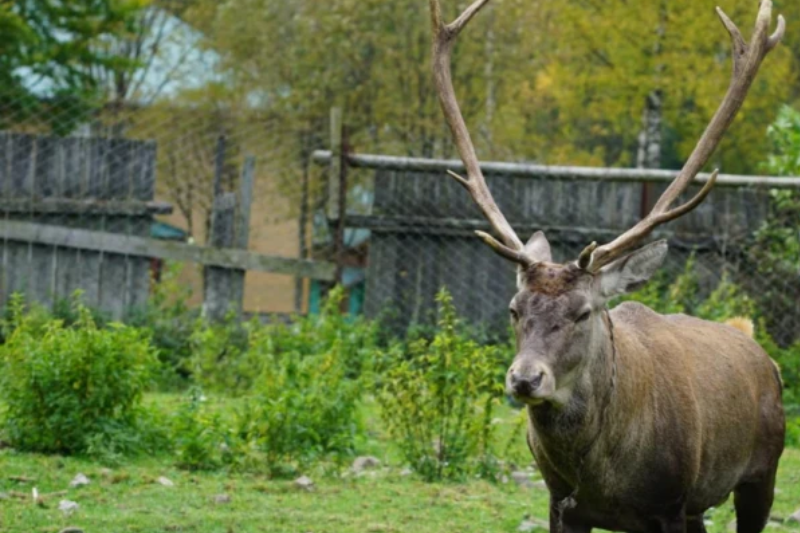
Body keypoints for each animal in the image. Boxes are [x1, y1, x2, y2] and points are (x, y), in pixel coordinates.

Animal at [428, 1, 784, 532]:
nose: (525, 379)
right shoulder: (561, 501)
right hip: (701, 506)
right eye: (514, 308)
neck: (601, 476)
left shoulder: (670, 503)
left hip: (763, 471)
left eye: (583, 312)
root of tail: (757, 347)